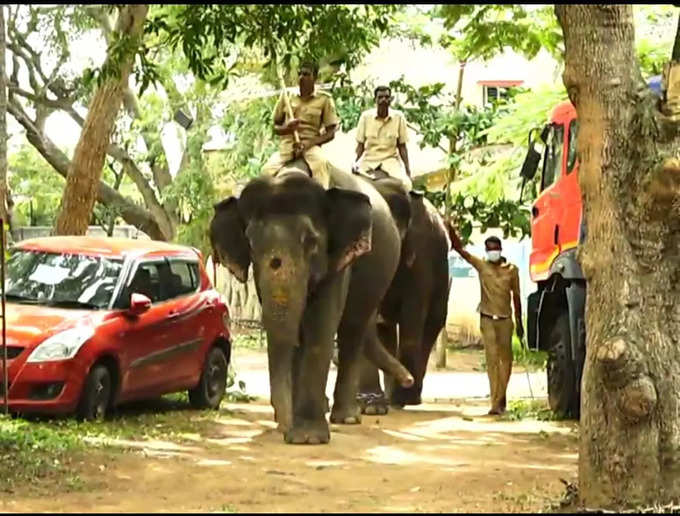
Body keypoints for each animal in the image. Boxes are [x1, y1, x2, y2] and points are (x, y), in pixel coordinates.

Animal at [210, 161, 414, 444]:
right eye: (250, 242)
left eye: (311, 242)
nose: (409, 381)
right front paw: (295, 429)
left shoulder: (338, 259)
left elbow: (320, 327)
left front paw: (306, 438)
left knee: (352, 330)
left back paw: (346, 418)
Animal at [354, 177, 454, 416]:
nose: (407, 380)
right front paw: (371, 407)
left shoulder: (421, 252)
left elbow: (412, 316)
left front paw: (399, 398)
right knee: (386, 329)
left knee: (430, 325)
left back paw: (407, 399)